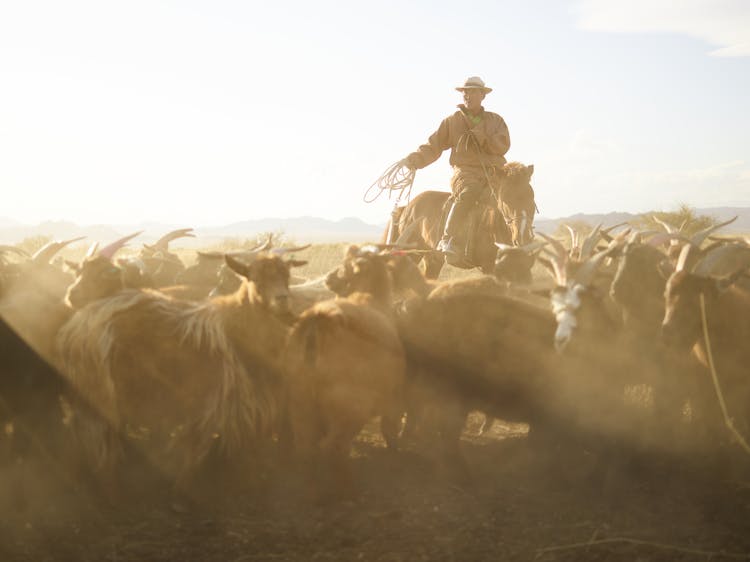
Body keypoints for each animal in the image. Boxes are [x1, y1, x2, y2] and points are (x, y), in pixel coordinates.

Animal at [384, 161, 536, 276]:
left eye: (531, 196)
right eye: (504, 198)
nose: (523, 238)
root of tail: (407, 207)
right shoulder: (490, 268)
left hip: (432, 260)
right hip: (410, 256)